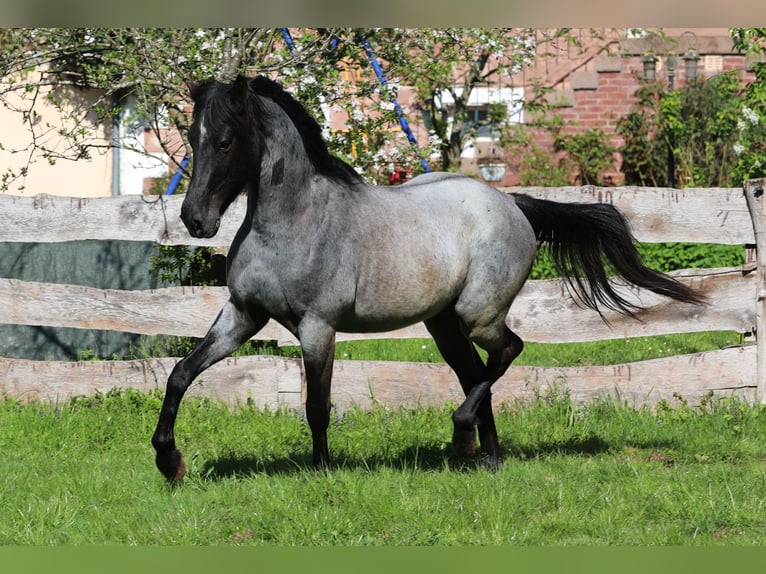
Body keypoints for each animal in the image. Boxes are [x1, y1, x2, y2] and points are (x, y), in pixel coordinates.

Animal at [151, 74, 704, 482]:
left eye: (225, 141)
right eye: (193, 139)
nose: (195, 221)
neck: (293, 223)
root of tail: (511, 203)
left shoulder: (317, 327)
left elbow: (317, 405)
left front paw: (322, 471)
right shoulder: (243, 315)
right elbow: (180, 372)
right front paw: (169, 461)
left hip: (477, 314)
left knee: (507, 352)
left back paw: (462, 436)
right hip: (444, 325)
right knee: (477, 374)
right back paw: (486, 456)